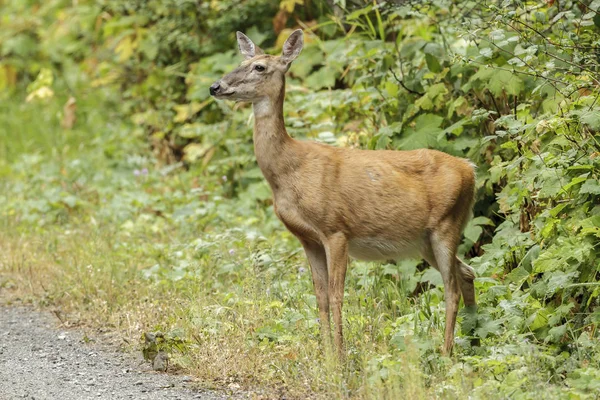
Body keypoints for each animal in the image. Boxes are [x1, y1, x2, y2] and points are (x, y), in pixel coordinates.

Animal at [211, 30, 478, 356]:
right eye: (240, 62)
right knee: (467, 273)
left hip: (446, 224)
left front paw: (340, 356)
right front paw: (325, 354)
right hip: (425, 239)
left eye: (259, 67)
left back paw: (446, 353)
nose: (215, 86)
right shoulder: (308, 238)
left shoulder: (336, 229)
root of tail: (470, 170)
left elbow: (337, 296)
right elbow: (320, 298)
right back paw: (474, 339)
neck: (289, 171)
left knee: (451, 288)